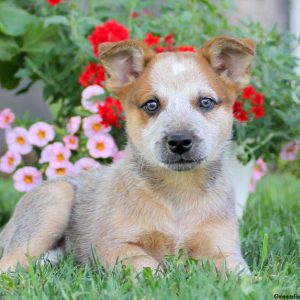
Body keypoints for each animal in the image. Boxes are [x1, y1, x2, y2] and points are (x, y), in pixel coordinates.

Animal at [0, 35, 255, 274]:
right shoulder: (114, 245)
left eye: (205, 102)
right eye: (151, 105)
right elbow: (146, 266)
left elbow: (242, 275)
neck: (178, 194)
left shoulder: (222, 248)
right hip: (54, 198)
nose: (179, 141)